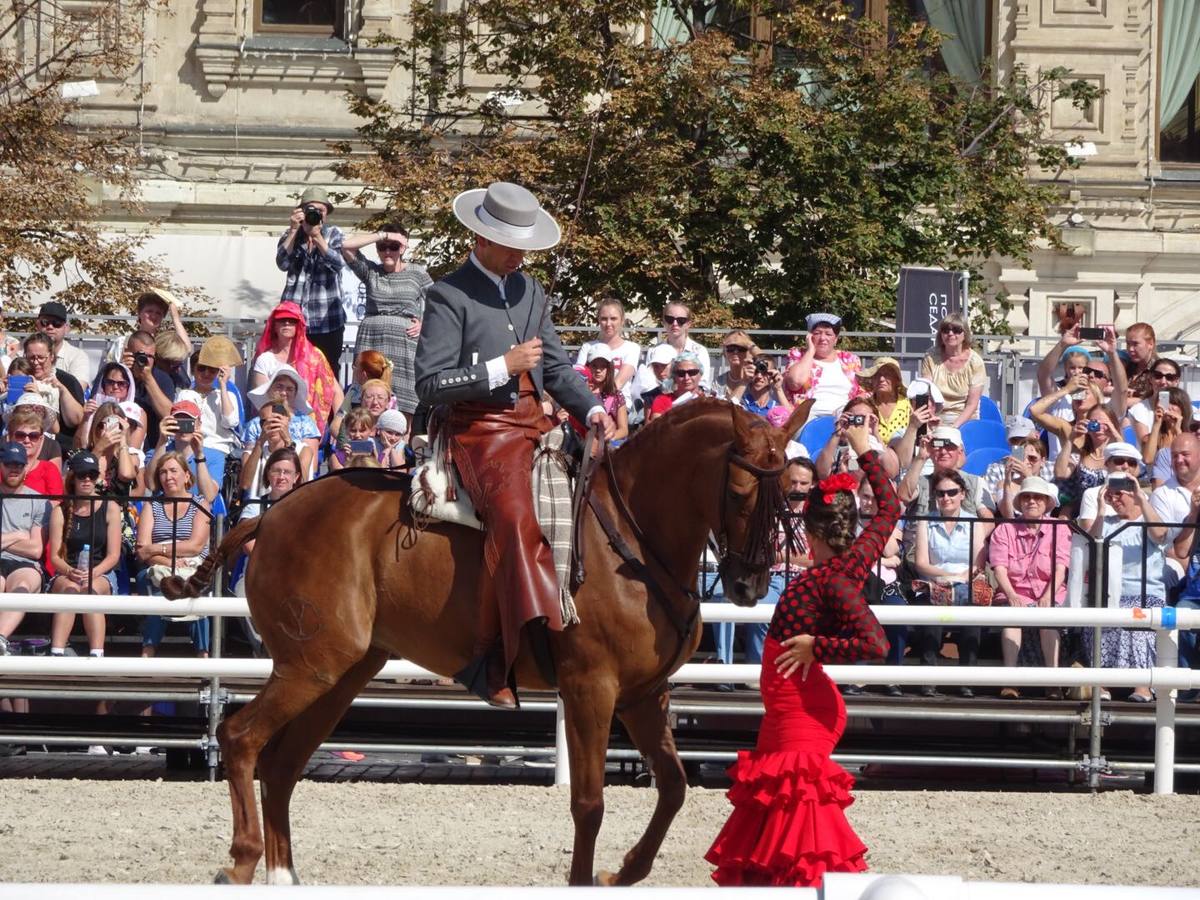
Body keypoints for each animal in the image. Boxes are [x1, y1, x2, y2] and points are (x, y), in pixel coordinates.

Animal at [164, 400, 811, 888]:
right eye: (738, 491)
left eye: (791, 492)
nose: (750, 584)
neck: (631, 540)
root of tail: (270, 517)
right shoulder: (592, 689)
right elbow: (590, 803)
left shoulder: (644, 695)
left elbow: (674, 787)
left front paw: (621, 872)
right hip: (311, 666)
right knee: (241, 739)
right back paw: (241, 861)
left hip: (340, 673)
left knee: (281, 763)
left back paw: (280, 873)